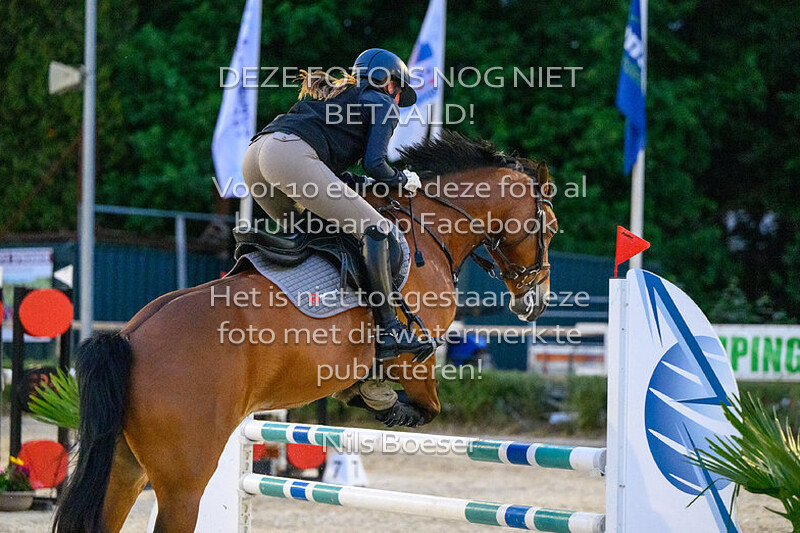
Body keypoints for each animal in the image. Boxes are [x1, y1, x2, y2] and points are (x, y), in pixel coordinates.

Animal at [53, 131, 558, 533]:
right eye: (550, 228)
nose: (535, 301)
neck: (430, 229)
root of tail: (129, 338)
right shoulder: (416, 354)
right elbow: (427, 406)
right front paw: (386, 404)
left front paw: (367, 396)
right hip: (184, 483)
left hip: (125, 467)